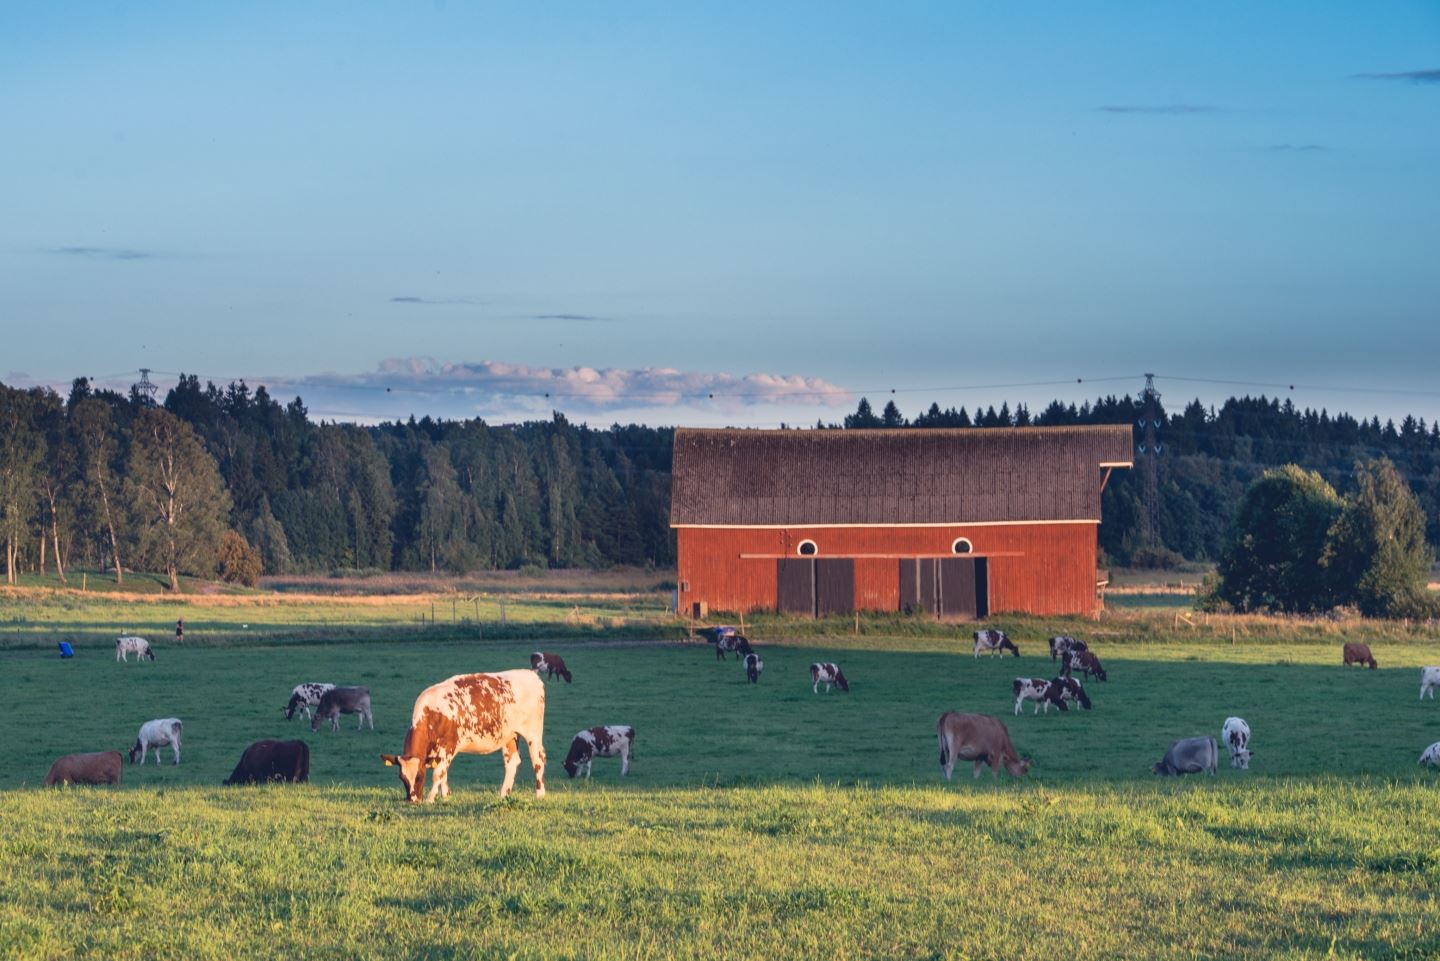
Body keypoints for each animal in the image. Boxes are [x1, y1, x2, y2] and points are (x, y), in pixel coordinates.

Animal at [377, 668, 544, 806]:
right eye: (402, 778)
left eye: (419, 776)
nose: (412, 800)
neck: (432, 714)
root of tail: (531, 674)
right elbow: (443, 774)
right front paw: (446, 796)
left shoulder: (449, 747)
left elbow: (438, 774)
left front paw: (431, 799)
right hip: (509, 736)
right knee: (512, 763)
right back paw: (504, 795)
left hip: (533, 733)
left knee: (538, 760)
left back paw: (540, 794)